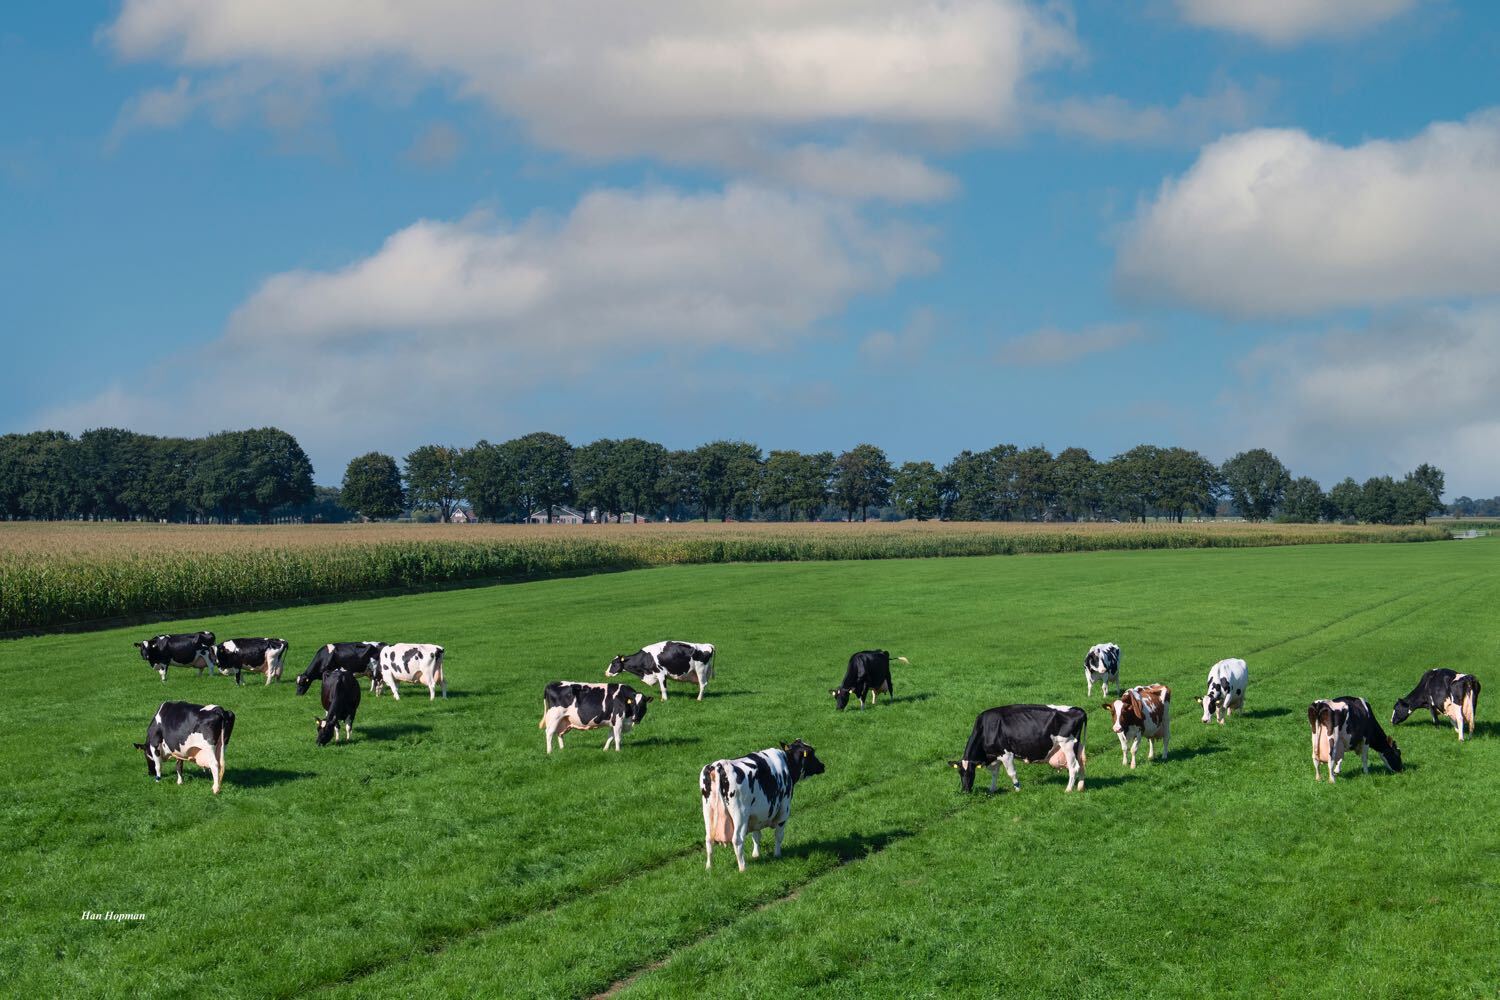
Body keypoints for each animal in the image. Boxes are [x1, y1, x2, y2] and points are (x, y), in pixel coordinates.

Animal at [699, 740, 828, 869]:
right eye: (811, 753)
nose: (822, 766)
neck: (787, 763)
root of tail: (719, 765)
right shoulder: (784, 810)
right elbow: (778, 835)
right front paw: (777, 855)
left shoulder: (756, 816)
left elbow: (756, 836)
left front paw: (756, 855)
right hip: (740, 814)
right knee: (737, 839)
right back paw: (743, 867)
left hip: (708, 811)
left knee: (708, 839)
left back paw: (709, 867)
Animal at [942, 704, 1086, 797]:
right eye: (960, 772)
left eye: (972, 772)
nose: (965, 790)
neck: (987, 728)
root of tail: (1079, 709)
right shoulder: (995, 755)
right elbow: (994, 773)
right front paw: (992, 790)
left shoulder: (1006, 754)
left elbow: (1011, 773)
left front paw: (1018, 790)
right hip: (1077, 746)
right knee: (1082, 765)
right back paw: (1080, 787)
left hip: (1067, 744)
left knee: (1073, 767)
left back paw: (1068, 790)